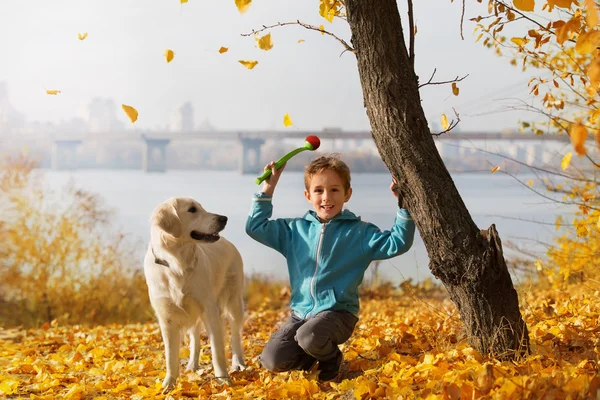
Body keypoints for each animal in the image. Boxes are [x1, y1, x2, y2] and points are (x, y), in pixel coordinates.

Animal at [144, 198, 245, 390]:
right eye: (192, 210)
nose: (224, 218)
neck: (177, 264)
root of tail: (228, 242)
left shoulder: (210, 310)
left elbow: (217, 351)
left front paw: (223, 379)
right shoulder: (166, 318)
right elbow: (170, 356)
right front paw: (169, 384)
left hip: (234, 302)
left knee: (236, 335)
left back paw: (239, 363)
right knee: (195, 336)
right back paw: (192, 364)